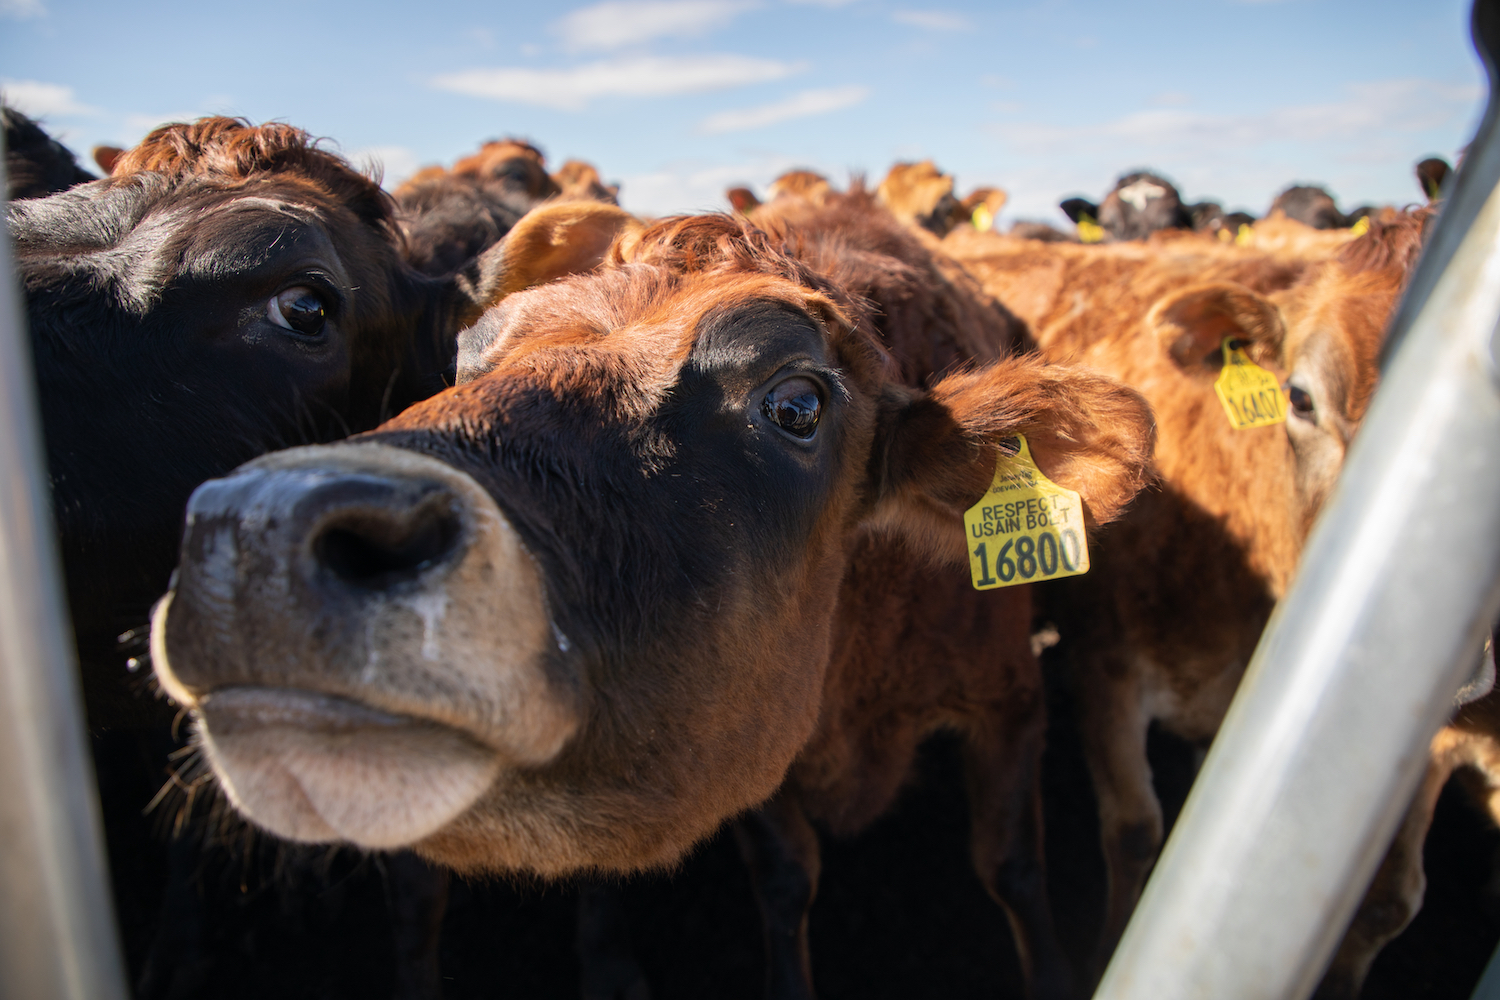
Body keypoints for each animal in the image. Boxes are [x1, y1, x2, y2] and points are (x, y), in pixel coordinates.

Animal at [152, 191, 1146, 1000]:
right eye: (467, 359)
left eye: (796, 403)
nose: (265, 526)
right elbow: (786, 878)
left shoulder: (1010, 696)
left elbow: (1012, 867)